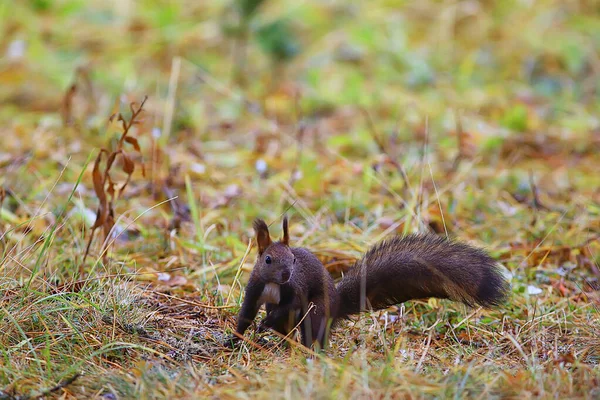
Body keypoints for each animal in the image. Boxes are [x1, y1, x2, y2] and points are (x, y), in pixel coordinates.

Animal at [227, 217, 508, 348]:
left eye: (294, 259)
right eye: (268, 259)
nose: (286, 274)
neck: (274, 285)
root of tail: (336, 305)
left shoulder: (295, 291)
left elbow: (290, 304)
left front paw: (263, 325)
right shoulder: (255, 290)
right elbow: (246, 314)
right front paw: (233, 339)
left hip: (317, 311)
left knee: (311, 332)